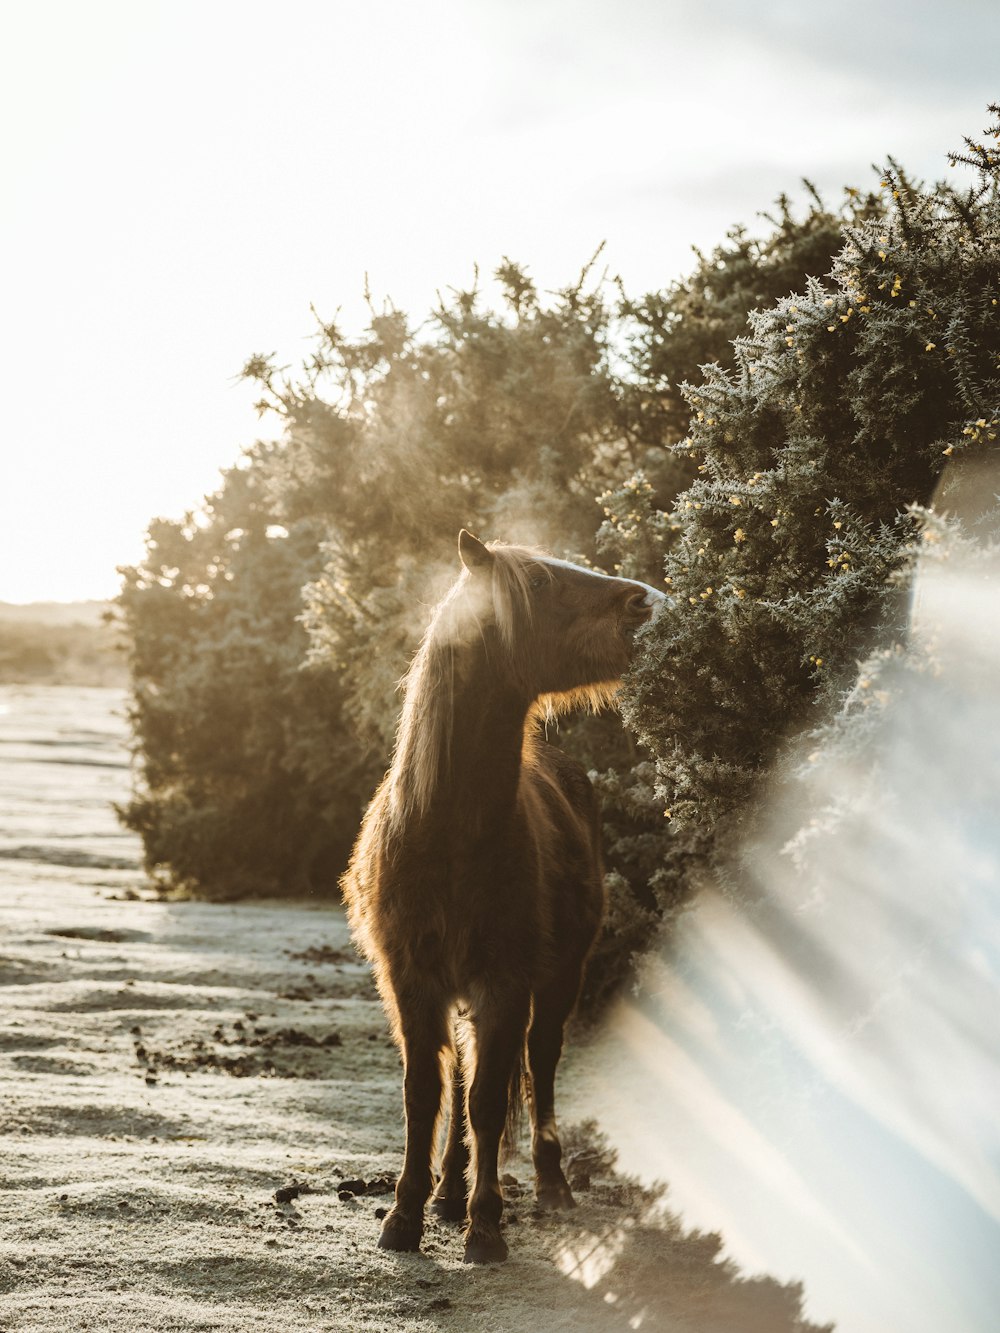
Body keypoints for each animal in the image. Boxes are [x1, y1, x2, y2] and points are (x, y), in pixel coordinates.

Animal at [344, 527, 666, 1258]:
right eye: (541, 583)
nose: (648, 601)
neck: (447, 831)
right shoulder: (413, 982)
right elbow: (426, 1094)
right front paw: (406, 1213)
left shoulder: (506, 981)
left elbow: (490, 1099)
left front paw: (486, 1224)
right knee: (465, 1079)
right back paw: (446, 1192)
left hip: (559, 980)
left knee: (539, 1068)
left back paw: (549, 1186)